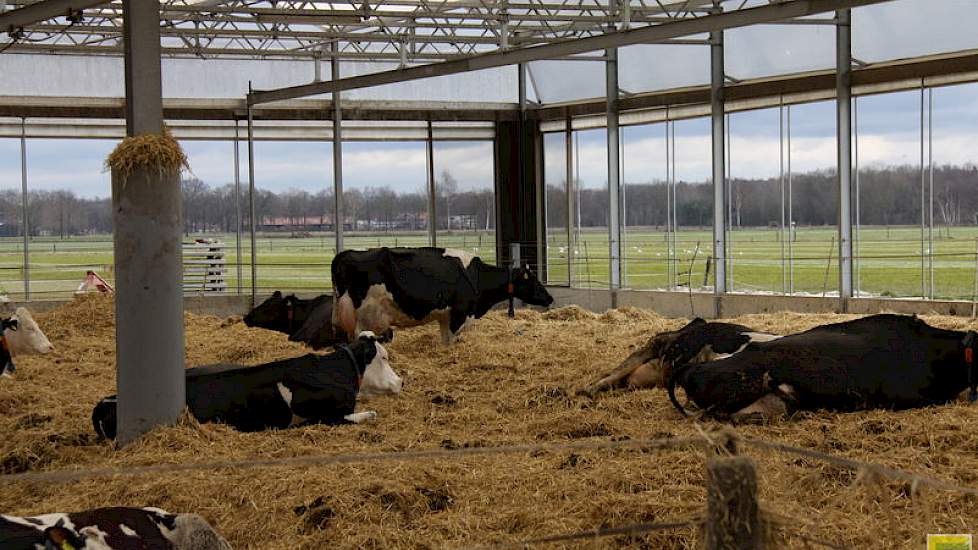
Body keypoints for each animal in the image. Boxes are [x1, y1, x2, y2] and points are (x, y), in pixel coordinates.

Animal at [332, 249, 552, 344]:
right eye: (534, 281)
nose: (550, 298)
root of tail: (345, 253)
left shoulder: (445, 316)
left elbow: (445, 341)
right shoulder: (459, 313)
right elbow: (452, 340)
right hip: (364, 316)